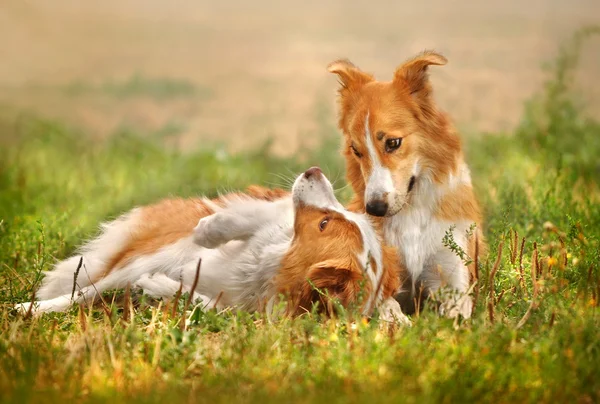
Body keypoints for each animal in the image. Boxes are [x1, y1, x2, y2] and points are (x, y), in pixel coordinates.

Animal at [16, 166, 408, 322]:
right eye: (337, 217)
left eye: (324, 223)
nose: (314, 170)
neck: (266, 270)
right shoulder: (272, 216)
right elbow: (251, 218)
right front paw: (210, 230)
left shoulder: (247, 311)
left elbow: (210, 306)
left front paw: (162, 288)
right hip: (150, 253)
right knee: (88, 289)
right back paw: (29, 308)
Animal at [326, 50, 486, 318]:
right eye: (356, 150)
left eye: (393, 143)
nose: (374, 209)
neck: (412, 211)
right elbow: (385, 302)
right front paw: (396, 321)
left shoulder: (452, 273)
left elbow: (456, 313)